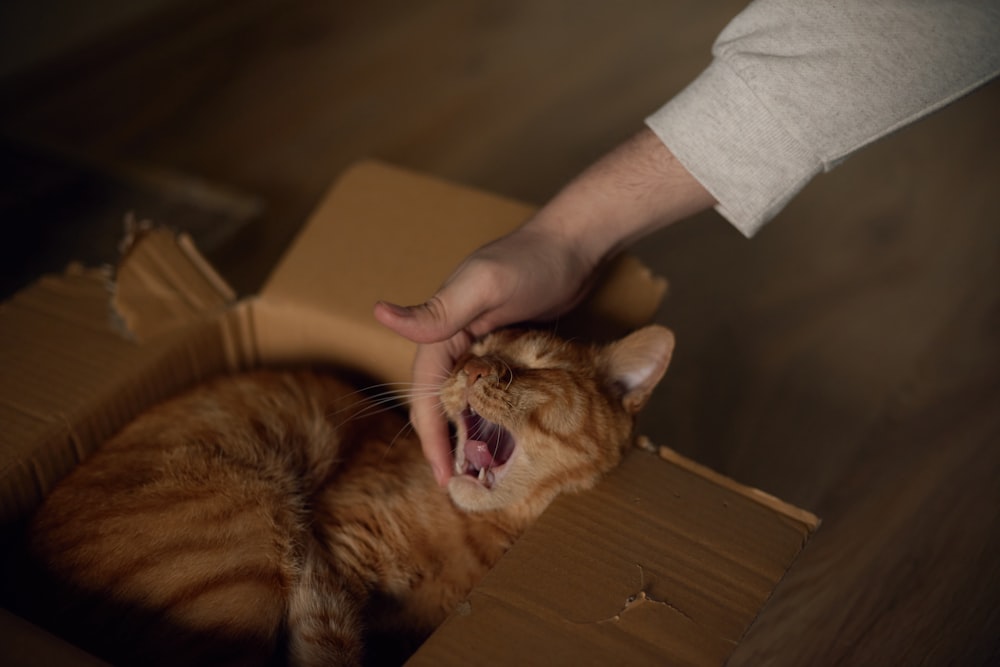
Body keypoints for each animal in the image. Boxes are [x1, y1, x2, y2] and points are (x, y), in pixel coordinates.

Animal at [21, 324, 672, 664]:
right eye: (476, 350)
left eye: (539, 364)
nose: (472, 371)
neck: (477, 545)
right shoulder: (337, 555)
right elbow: (330, 642)